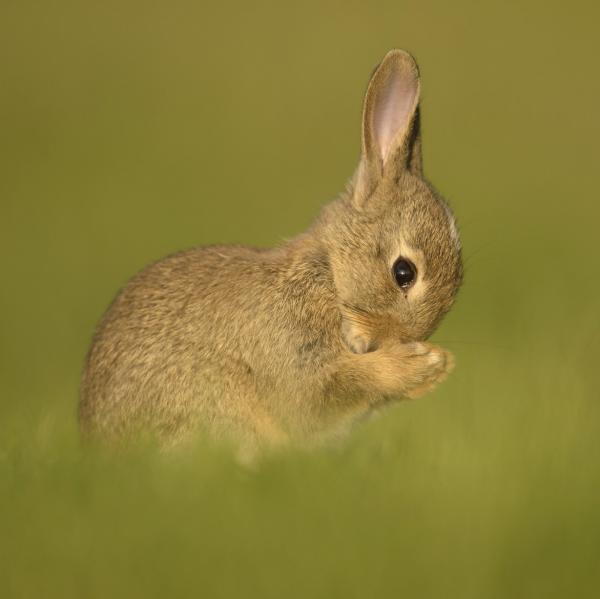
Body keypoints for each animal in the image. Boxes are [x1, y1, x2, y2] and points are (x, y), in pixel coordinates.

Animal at [78, 50, 464, 454]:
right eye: (403, 273)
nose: (395, 341)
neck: (329, 276)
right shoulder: (294, 356)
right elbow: (323, 394)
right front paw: (425, 364)